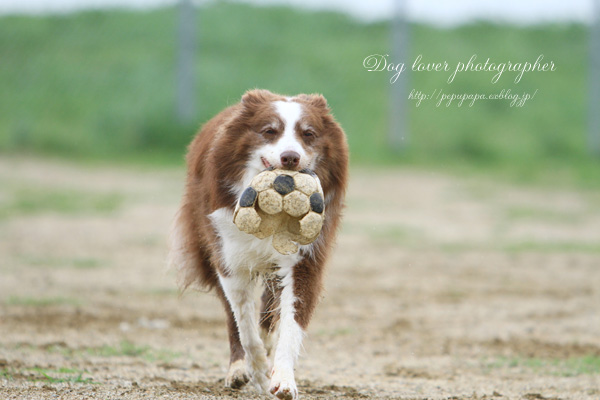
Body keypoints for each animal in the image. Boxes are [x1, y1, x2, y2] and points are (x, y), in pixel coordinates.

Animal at [168, 89, 346, 398]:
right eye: (269, 131)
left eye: (308, 134)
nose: (290, 158)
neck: (272, 217)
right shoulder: (228, 254)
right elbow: (243, 322)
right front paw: (259, 370)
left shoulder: (306, 256)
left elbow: (291, 320)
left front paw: (283, 379)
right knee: (235, 316)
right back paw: (239, 370)